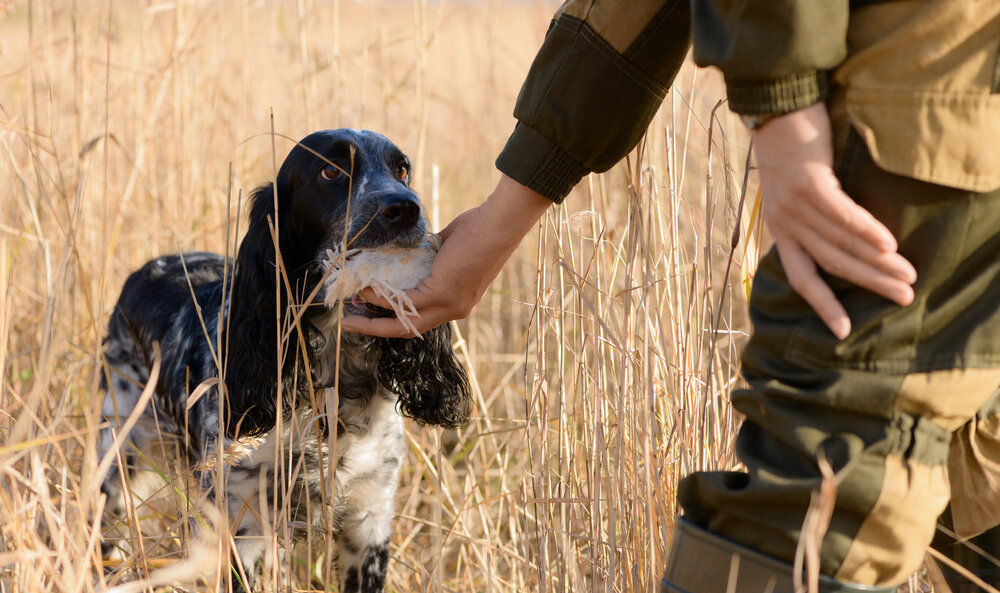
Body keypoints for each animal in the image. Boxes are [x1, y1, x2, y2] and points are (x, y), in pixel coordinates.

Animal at [97, 131, 472, 592]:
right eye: (330, 170)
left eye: (402, 169)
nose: (405, 207)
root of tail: (145, 270)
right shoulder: (242, 527)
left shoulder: (369, 524)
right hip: (118, 458)